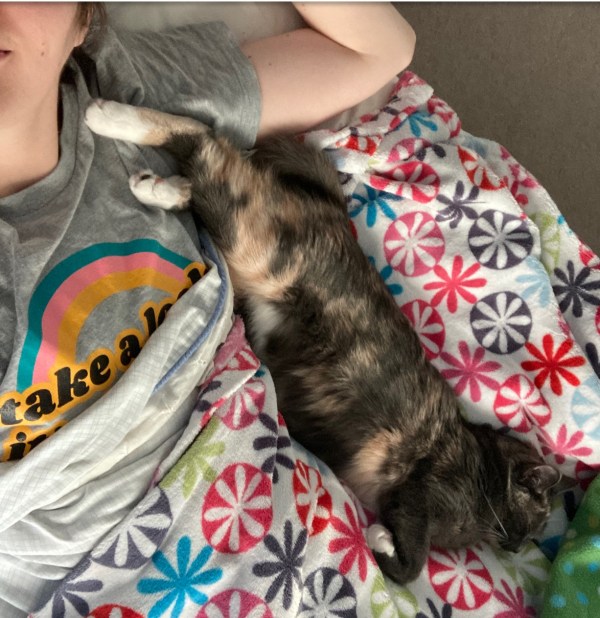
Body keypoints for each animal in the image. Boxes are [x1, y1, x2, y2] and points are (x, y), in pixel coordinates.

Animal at [85, 99, 561, 584]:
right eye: (535, 518)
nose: (519, 544)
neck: (480, 463)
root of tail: (333, 209)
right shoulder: (424, 485)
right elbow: (412, 564)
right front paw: (381, 541)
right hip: (258, 246)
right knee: (206, 140)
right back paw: (107, 116)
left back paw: (160, 188)